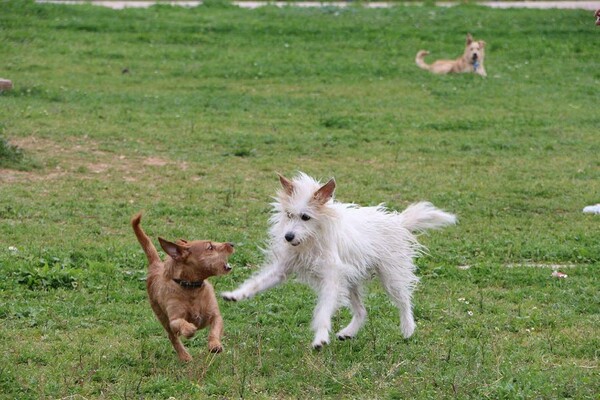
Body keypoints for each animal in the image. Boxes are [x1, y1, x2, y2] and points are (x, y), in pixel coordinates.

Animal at [132, 214, 234, 360]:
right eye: (210, 247)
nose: (232, 244)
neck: (192, 288)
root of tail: (156, 265)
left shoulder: (215, 316)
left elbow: (214, 330)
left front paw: (215, 345)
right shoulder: (173, 320)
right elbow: (181, 324)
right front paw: (190, 329)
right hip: (161, 317)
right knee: (173, 337)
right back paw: (185, 356)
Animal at [223, 173, 458, 348]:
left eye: (305, 217)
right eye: (289, 215)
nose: (288, 237)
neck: (311, 240)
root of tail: (398, 221)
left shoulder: (332, 279)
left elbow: (323, 311)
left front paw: (320, 337)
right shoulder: (282, 269)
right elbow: (257, 283)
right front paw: (236, 295)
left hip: (391, 277)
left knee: (404, 301)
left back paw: (408, 328)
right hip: (351, 280)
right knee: (362, 311)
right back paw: (349, 332)